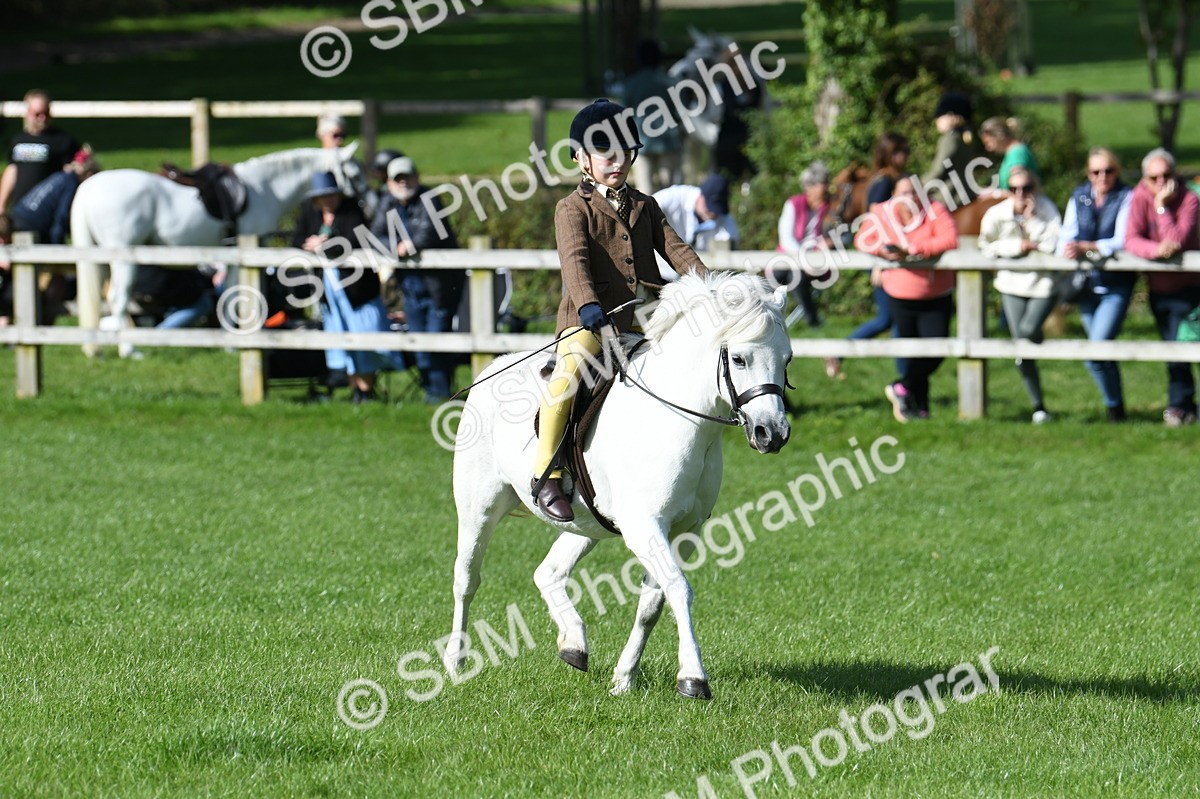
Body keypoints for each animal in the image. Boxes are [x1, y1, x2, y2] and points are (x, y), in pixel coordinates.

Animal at [70, 144, 358, 357]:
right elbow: (240, 298)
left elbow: (230, 297)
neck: (266, 189)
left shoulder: (230, 257)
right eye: (354, 175)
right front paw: (237, 343)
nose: (364, 201)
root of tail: (88, 187)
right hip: (123, 259)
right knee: (118, 299)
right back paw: (129, 349)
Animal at [446, 272, 793, 699]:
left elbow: (652, 604)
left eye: (787, 359)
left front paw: (624, 678)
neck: (678, 419)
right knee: (466, 580)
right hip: (478, 509)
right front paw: (693, 678)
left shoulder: (684, 531)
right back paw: (456, 662)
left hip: (586, 524)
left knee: (548, 573)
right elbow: (679, 588)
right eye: (740, 359)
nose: (771, 434)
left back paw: (574, 642)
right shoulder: (645, 527)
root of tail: (493, 367)